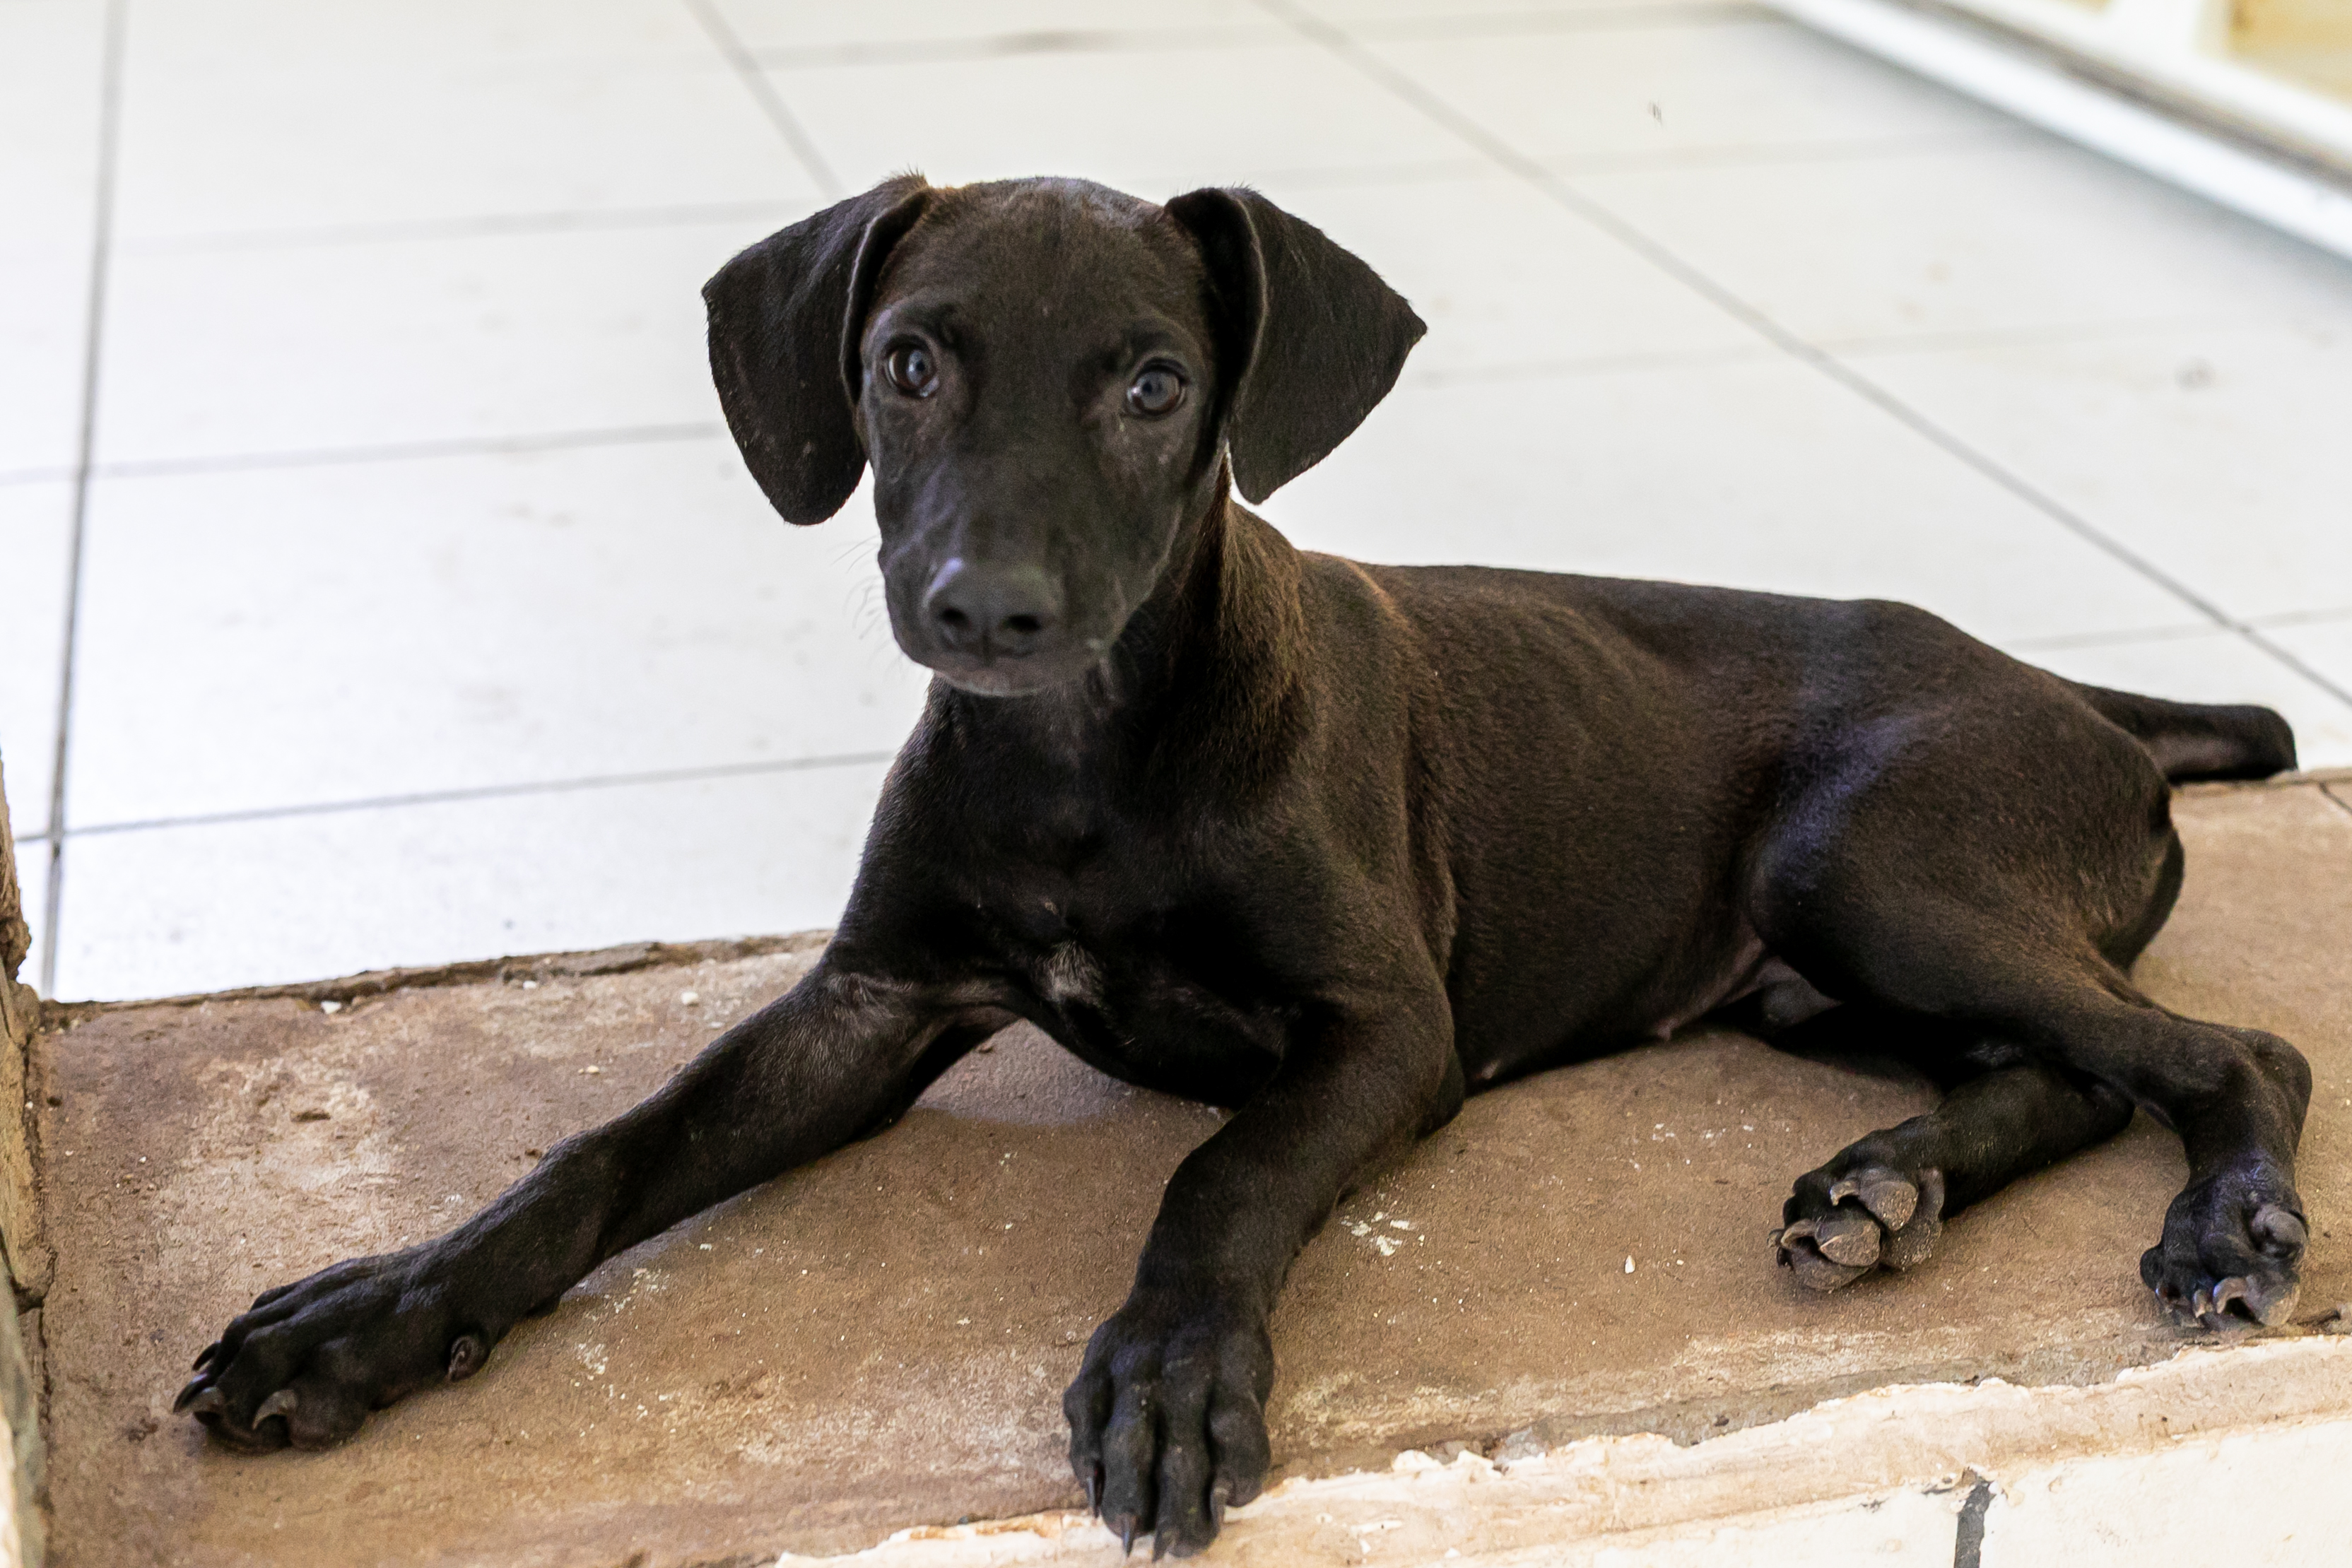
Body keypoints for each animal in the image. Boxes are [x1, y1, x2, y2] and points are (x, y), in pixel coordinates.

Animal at [177, 175, 2311, 1558]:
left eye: (1154, 387)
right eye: (907, 366)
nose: (987, 611)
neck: (1088, 760)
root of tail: (2079, 700)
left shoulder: (1387, 1033)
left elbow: (1223, 1170)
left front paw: (1172, 1373)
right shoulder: (868, 1002)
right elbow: (599, 1156)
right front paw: (368, 1319)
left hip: (1863, 870)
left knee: (2230, 1055)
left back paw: (2222, 1223)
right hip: (1812, 972)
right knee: (2055, 1070)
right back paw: (1887, 1189)